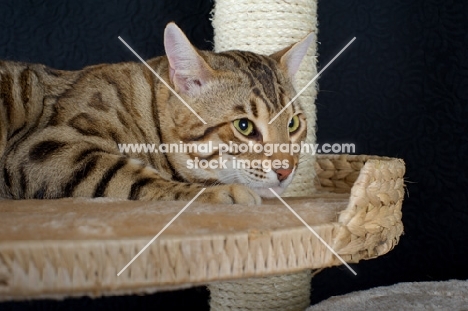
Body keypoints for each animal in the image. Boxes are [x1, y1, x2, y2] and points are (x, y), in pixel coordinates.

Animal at [0, 23, 314, 206]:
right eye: (245, 126)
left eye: (293, 124)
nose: (286, 170)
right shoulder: (43, 147)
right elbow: (127, 175)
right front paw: (215, 193)